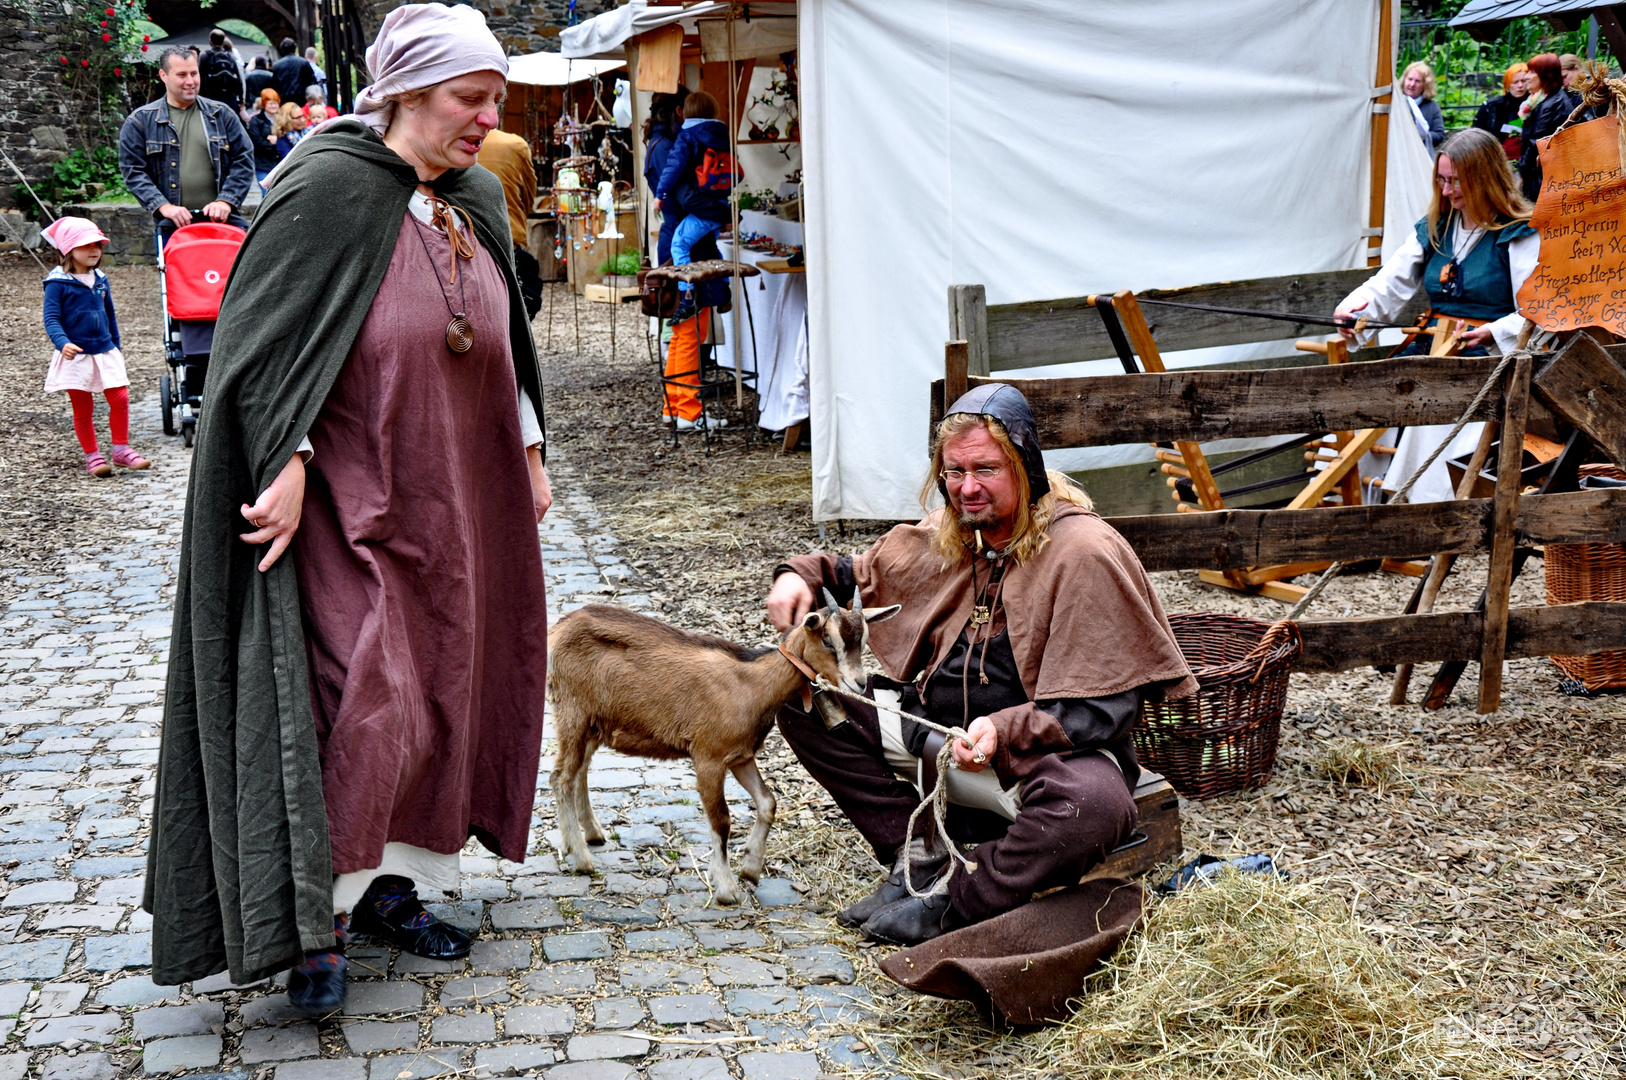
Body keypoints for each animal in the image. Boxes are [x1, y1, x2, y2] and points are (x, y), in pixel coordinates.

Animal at [552, 592, 897, 904]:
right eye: (827, 640)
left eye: (865, 640)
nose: (858, 682)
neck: (751, 684)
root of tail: (560, 627)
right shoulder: (709, 757)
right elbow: (721, 820)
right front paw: (726, 888)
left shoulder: (741, 756)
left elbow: (768, 802)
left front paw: (751, 868)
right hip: (572, 713)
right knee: (561, 778)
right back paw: (581, 858)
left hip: (594, 725)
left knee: (578, 772)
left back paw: (591, 835)